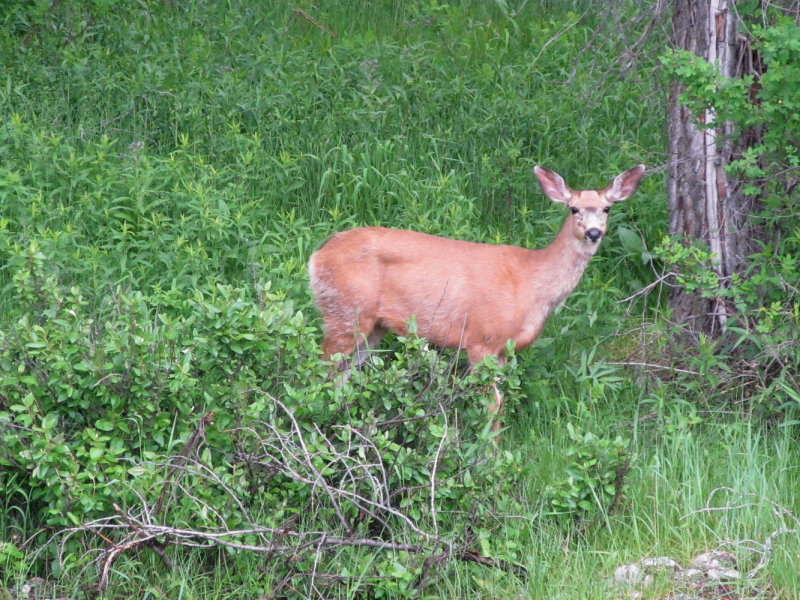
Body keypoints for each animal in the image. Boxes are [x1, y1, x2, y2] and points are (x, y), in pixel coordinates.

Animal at [306, 164, 644, 426]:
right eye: (573, 208)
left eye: (607, 208)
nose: (593, 233)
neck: (532, 284)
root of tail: (316, 257)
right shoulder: (481, 339)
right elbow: (493, 405)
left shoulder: (506, 349)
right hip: (345, 311)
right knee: (318, 371)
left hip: (372, 327)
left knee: (341, 378)